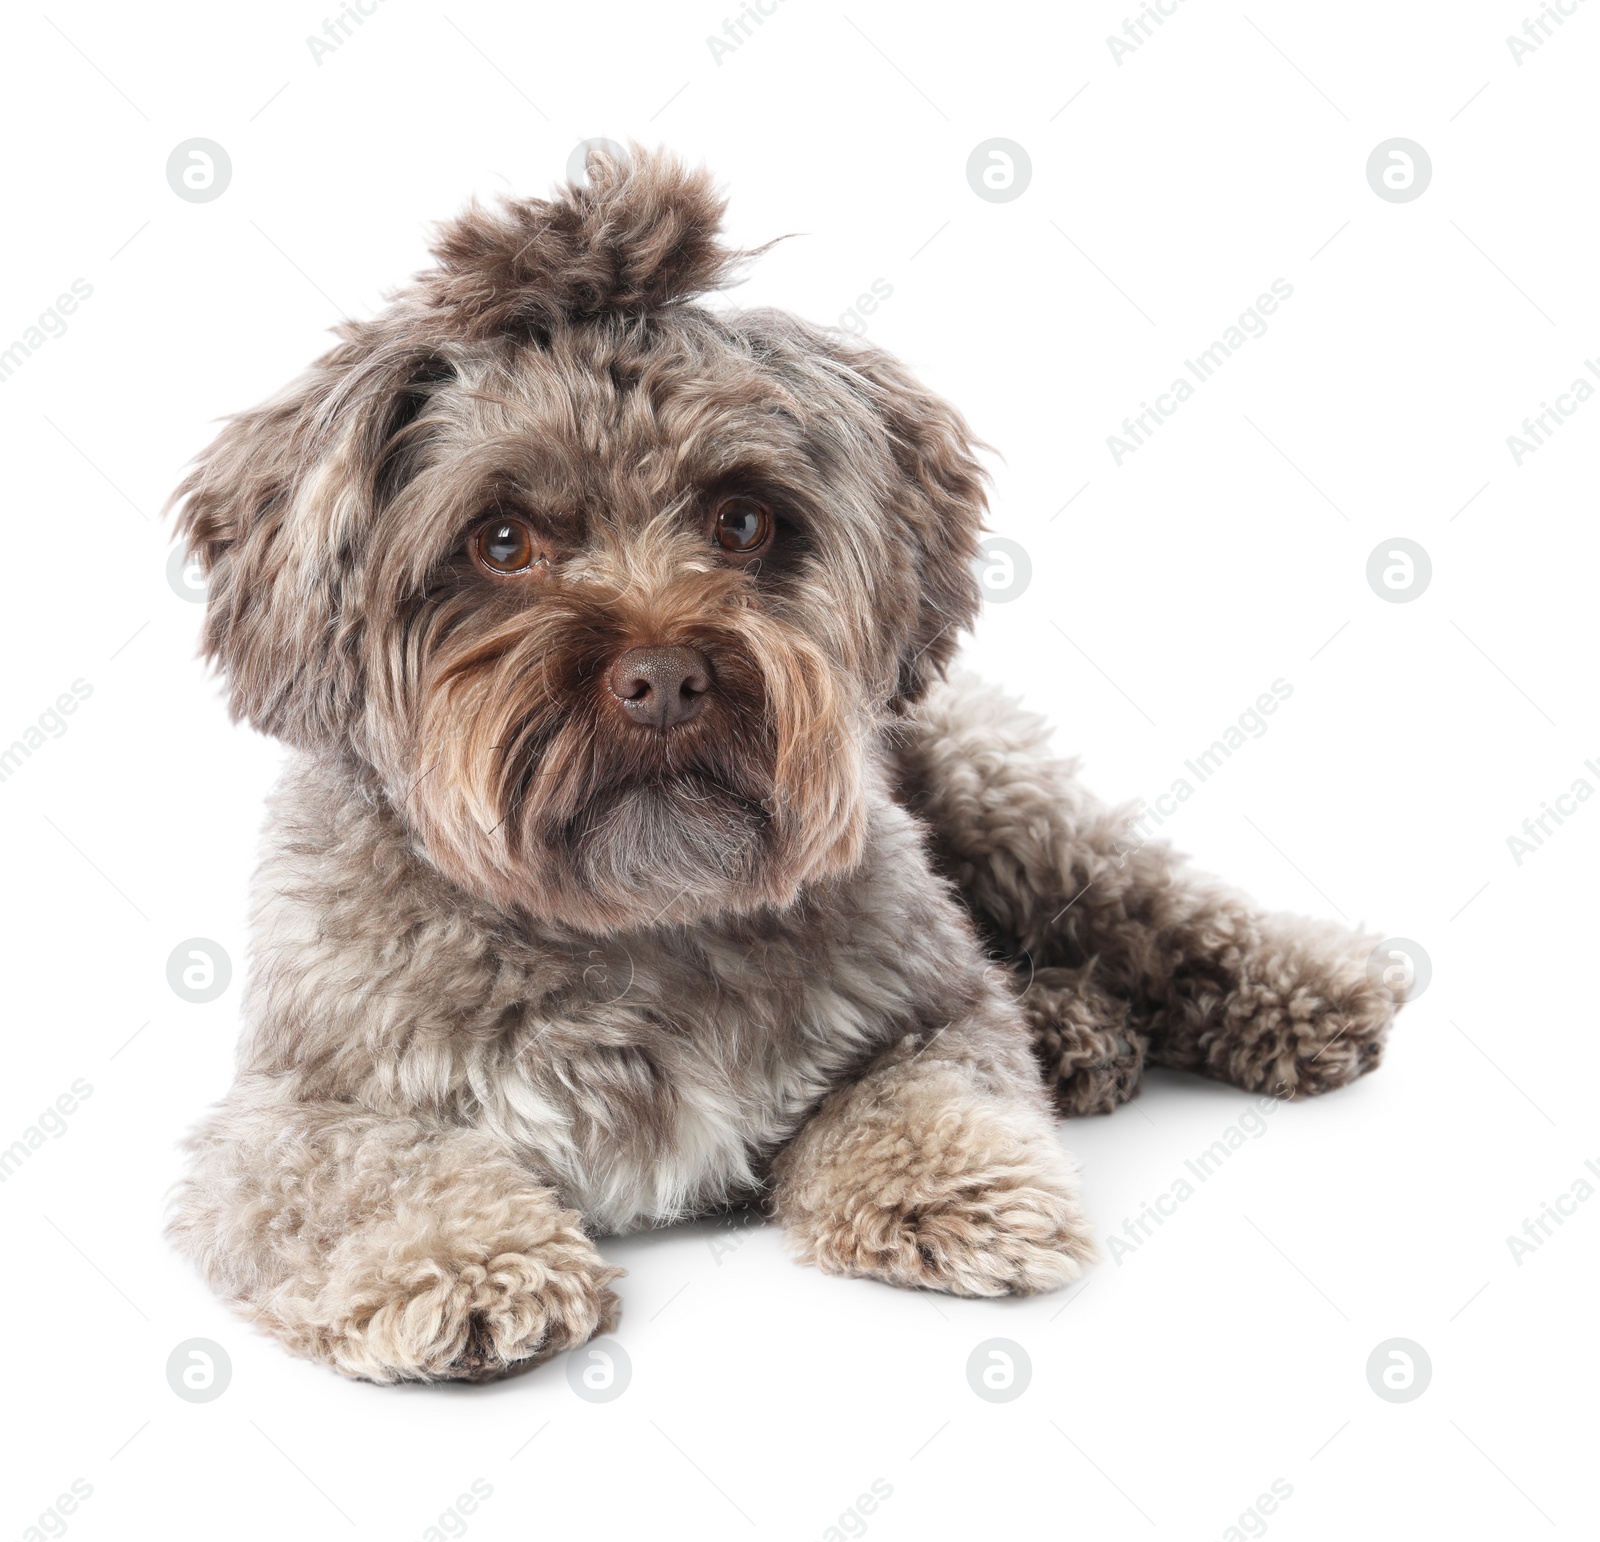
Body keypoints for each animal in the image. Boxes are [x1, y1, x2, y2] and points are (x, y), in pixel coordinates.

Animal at [168, 147, 1408, 1388]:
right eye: (502, 541)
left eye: (744, 521)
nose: (664, 677)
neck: (640, 921)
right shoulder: (291, 1107)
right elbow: (356, 1176)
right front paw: (464, 1264)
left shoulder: (928, 1007)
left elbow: (921, 1086)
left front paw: (959, 1187)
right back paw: (1076, 1025)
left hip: (1001, 802)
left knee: (1156, 904)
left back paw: (1290, 991)